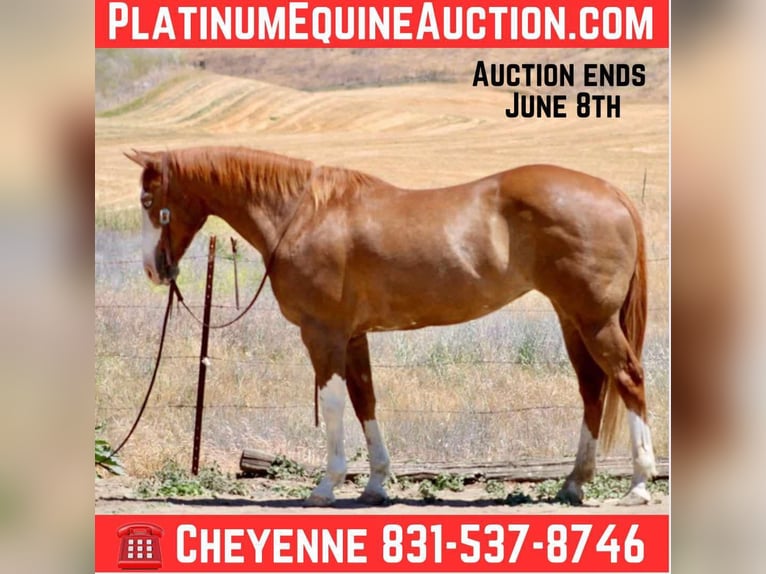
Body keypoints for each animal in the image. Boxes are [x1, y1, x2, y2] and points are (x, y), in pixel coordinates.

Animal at [125, 145, 657, 506]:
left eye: (149, 199)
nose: (153, 270)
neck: (303, 215)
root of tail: (611, 192)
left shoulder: (322, 334)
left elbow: (334, 402)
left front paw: (326, 485)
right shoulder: (354, 336)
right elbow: (365, 400)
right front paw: (376, 484)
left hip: (594, 320)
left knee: (628, 379)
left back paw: (638, 484)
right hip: (572, 319)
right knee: (592, 389)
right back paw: (573, 483)